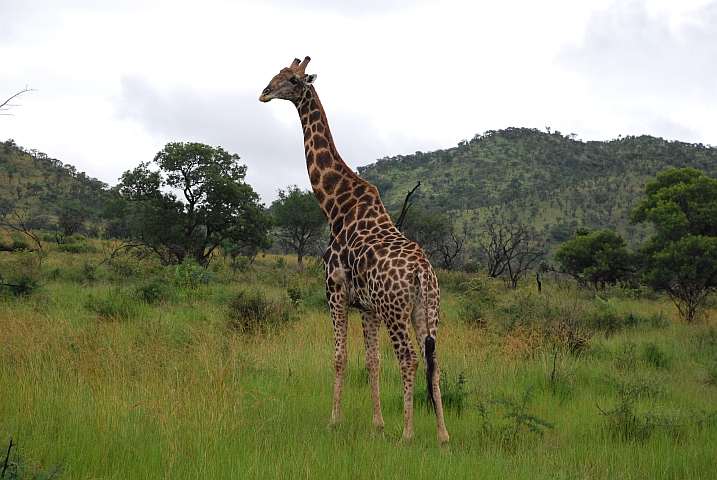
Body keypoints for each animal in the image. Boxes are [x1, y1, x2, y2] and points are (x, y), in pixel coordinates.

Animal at [260, 57, 449, 444]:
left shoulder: (335, 291)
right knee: (433, 361)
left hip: (396, 310)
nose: (264, 92)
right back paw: (442, 436)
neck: (334, 206)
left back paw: (408, 434)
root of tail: (423, 272)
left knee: (409, 357)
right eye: (277, 74)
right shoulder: (367, 305)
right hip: (427, 310)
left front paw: (334, 421)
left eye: (292, 80)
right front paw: (377, 425)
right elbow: (371, 360)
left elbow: (340, 356)